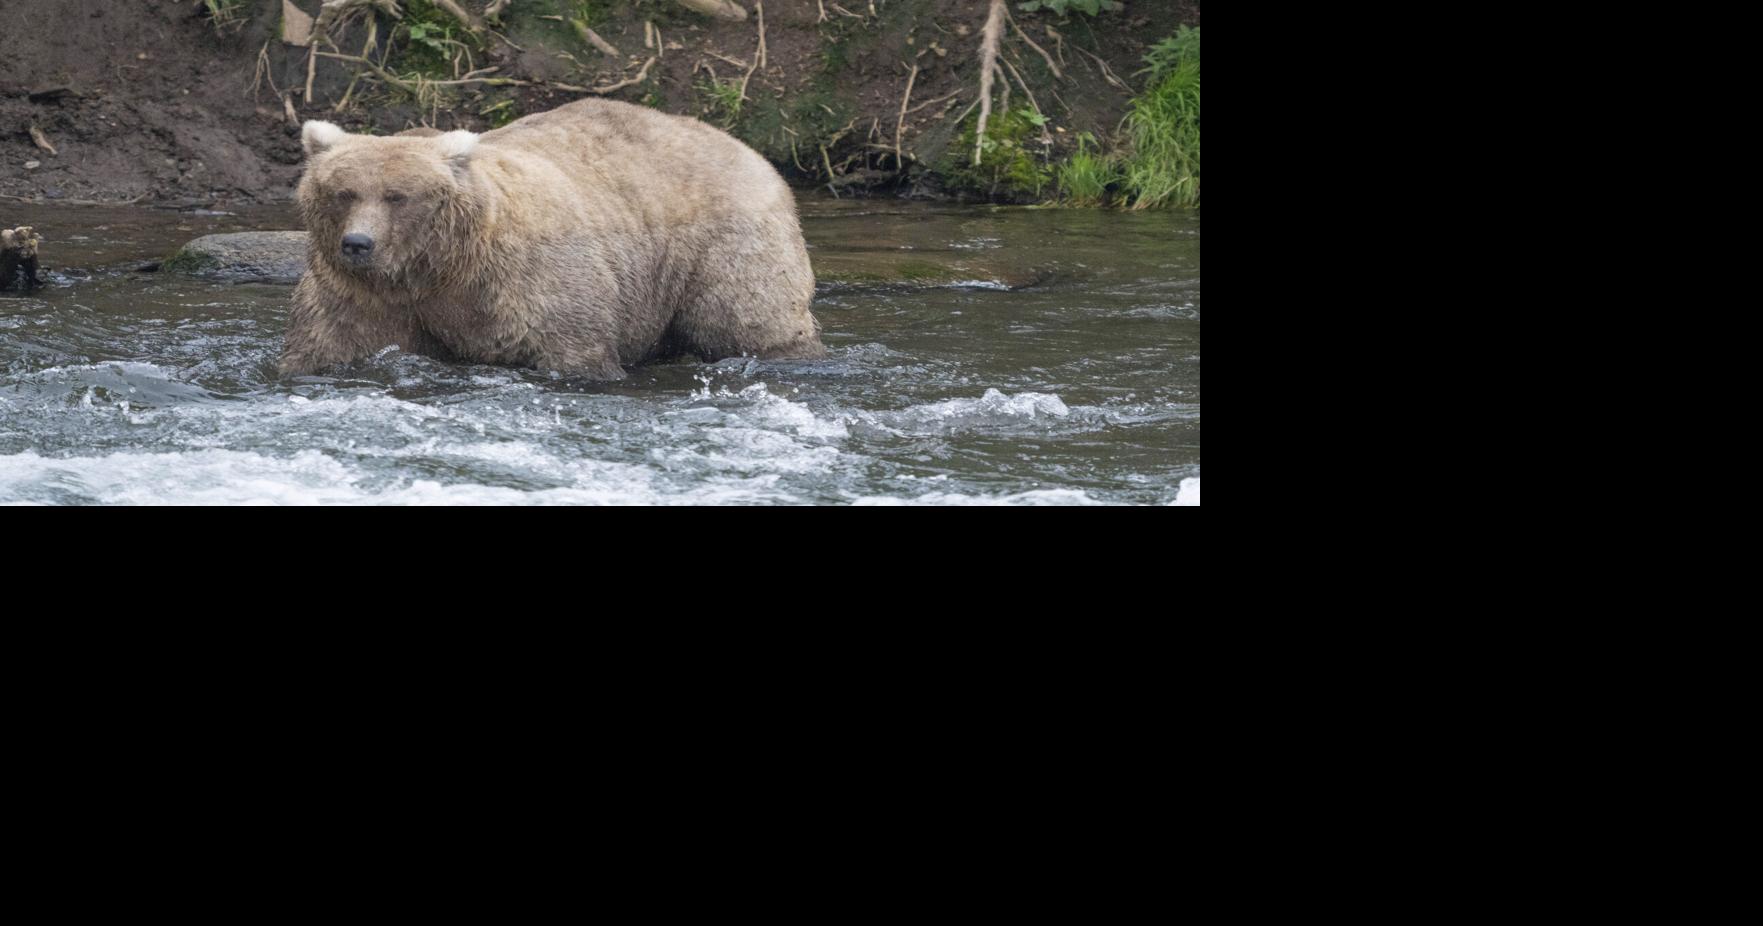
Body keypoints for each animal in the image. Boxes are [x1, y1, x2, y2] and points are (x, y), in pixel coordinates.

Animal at [279, 99, 825, 379]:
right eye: (343, 192)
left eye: (397, 196)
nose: (358, 243)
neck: (438, 267)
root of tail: (749, 150)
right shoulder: (363, 294)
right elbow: (327, 344)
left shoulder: (528, 280)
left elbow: (573, 347)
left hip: (725, 242)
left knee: (746, 318)